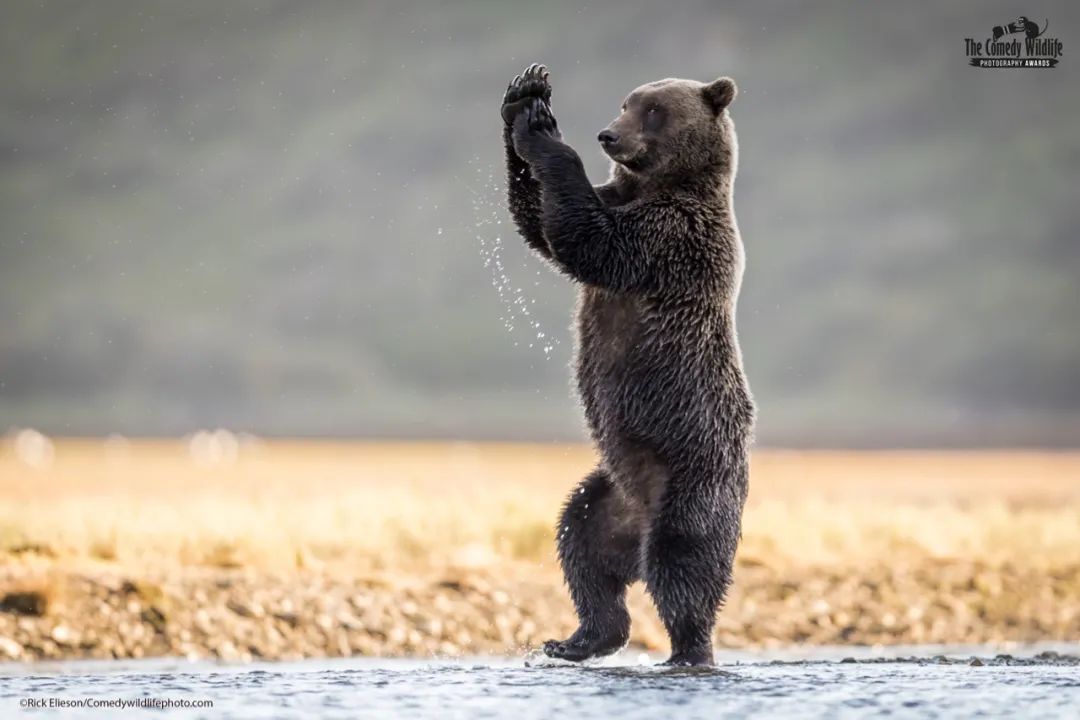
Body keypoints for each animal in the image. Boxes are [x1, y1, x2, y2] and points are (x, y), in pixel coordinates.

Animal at [501, 64, 756, 669]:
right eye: (626, 103)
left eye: (654, 111)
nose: (608, 135)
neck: (657, 186)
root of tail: (636, 522)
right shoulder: (621, 200)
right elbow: (543, 225)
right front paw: (524, 98)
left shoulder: (671, 237)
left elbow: (590, 242)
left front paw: (546, 133)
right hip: (604, 493)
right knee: (580, 549)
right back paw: (577, 639)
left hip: (693, 474)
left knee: (683, 565)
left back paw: (688, 650)